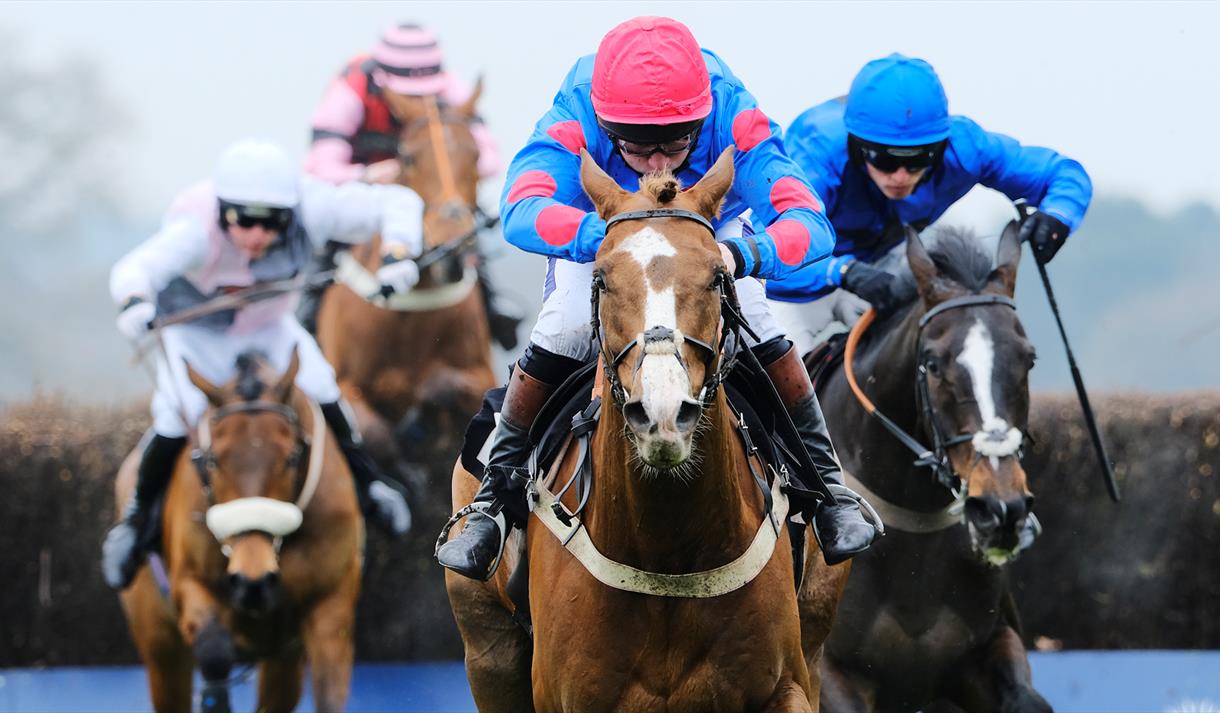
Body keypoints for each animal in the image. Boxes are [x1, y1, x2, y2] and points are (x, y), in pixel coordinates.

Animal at [114, 351, 361, 713]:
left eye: (291, 458)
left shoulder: (330, 604)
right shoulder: (189, 583)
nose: (252, 581)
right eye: (213, 461)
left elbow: (329, 691)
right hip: (158, 642)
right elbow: (214, 650)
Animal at [448, 147, 849, 708]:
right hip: (487, 652)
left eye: (717, 277)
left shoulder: (785, 685)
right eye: (600, 278)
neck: (669, 548)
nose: (663, 413)